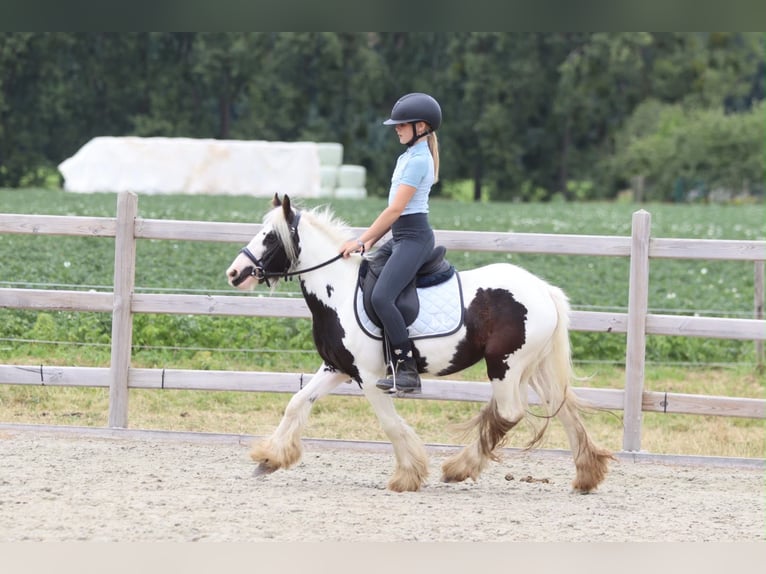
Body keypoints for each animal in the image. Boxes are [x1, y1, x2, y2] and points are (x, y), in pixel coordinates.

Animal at [226, 194, 613, 493]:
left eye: (270, 238)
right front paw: (269, 459)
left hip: (505, 365)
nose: (234, 273)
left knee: (509, 413)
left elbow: (390, 424)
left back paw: (459, 468)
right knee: (562, 410)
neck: (338, 291)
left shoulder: (370, 377)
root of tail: (544, 290)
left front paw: (407, 476)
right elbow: (297, 403)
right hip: (535, 367)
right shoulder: (337, 367)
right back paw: (587, 475)